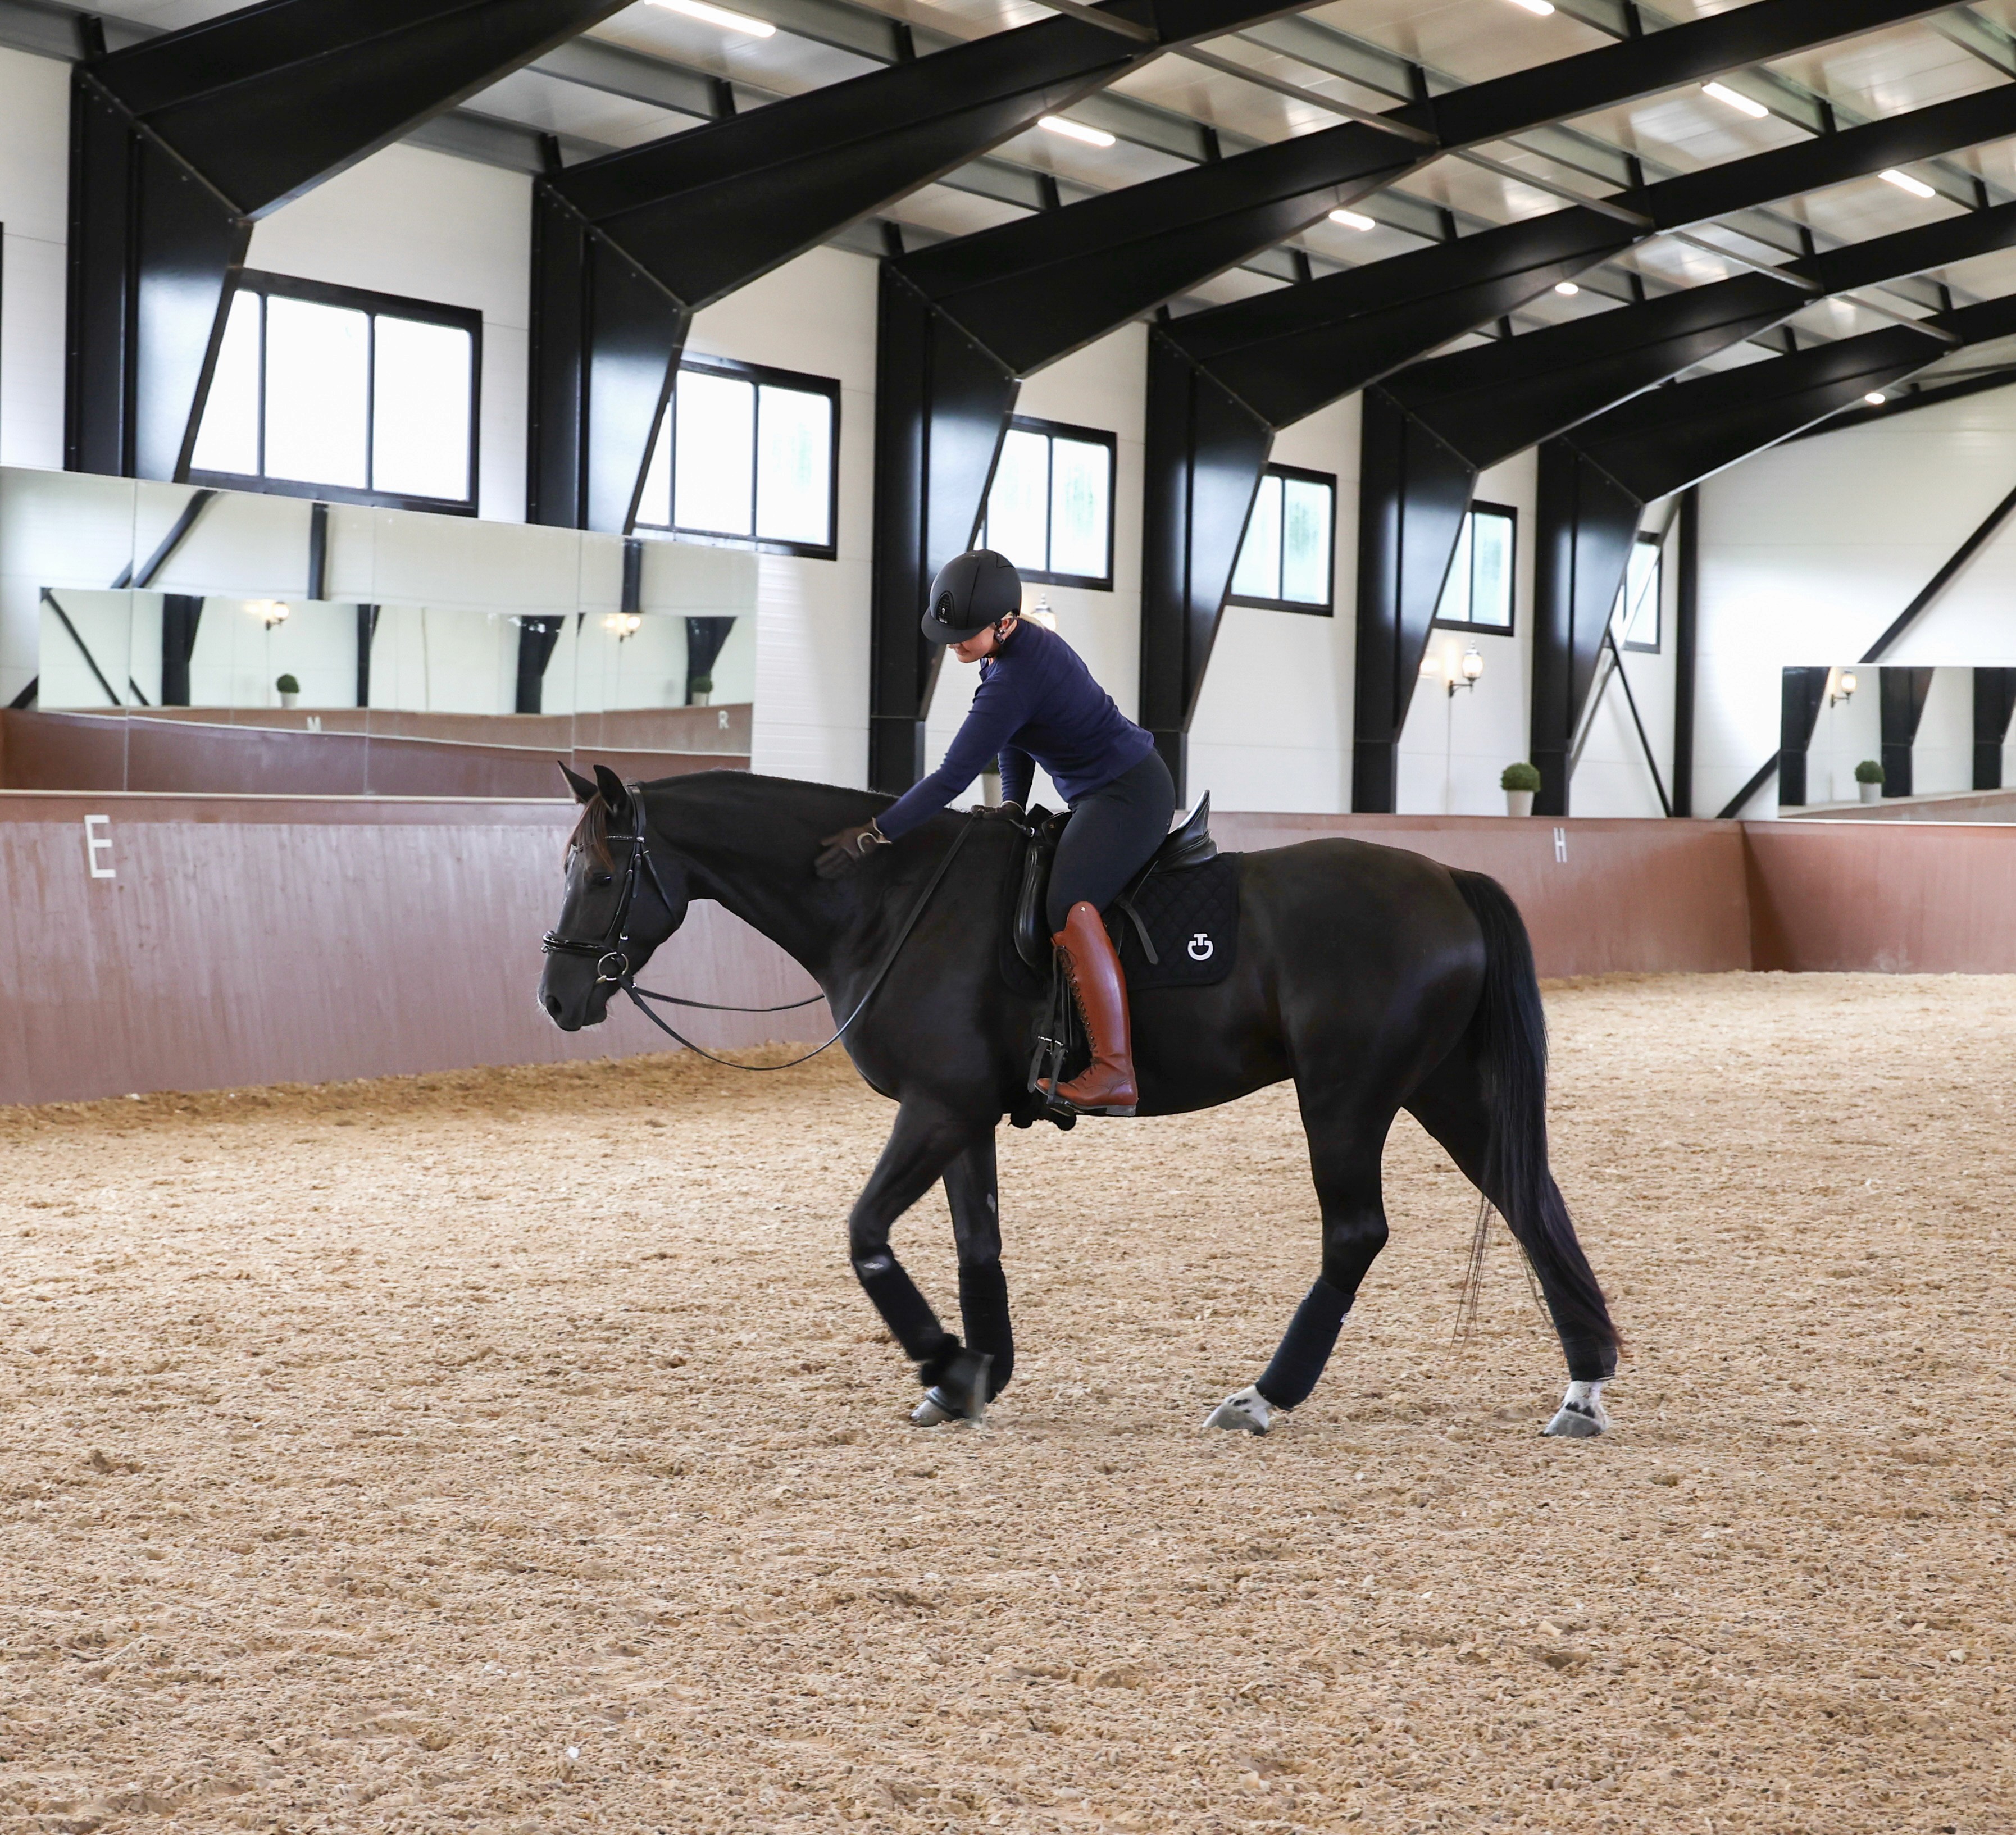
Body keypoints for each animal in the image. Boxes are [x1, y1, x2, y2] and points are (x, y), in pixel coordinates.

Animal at [537, 764, 1619, 1439]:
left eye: (603, 871)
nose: (556, 998)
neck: (887, 900)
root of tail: (1449, 877)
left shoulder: (934, 1107)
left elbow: (864, 1234)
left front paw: (942, 1361)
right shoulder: (961, 1112)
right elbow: (977, 1244)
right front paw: (976, 1372)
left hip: (1345, 1097)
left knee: (1356, 1234)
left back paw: (1262, 1396)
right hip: (1440, 1088)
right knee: (1530, 1202)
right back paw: (1583, 1388)